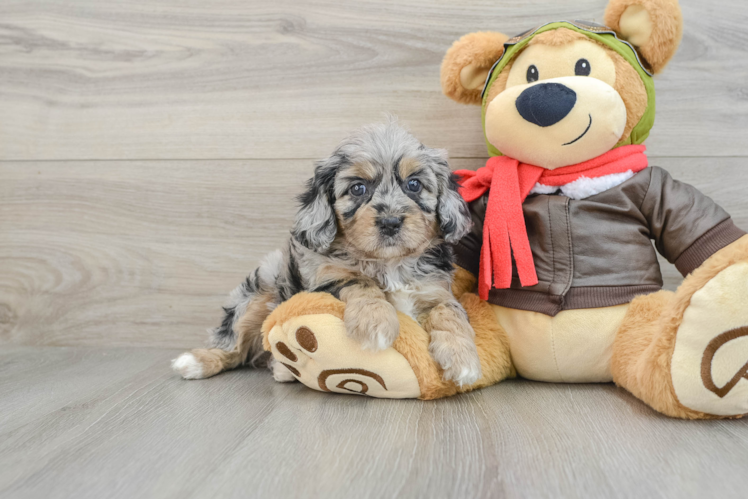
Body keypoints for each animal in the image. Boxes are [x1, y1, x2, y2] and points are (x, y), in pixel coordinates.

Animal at [172, 122, 482, 386]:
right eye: (358, 188)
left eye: (414, 184)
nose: (391, 222)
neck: (388, 263)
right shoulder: (323, 280)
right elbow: (360, 281)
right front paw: (376, 323)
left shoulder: (436, 290)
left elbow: (450, 312)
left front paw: (463, 359)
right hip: (260, 289)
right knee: (233, 344)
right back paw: (197, 362)